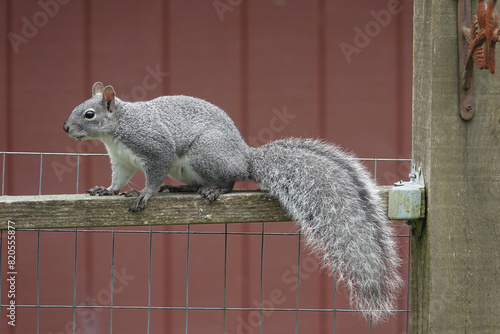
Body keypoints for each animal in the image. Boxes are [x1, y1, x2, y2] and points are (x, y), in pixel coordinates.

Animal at [63, 81, 402, 324]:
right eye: (78, 108)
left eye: (89, 114)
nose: (65, 128)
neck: (117, 130)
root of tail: (244, 157)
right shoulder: (121, 160)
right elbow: (118, 179)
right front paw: (107, 190)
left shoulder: (154, 147)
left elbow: (154, 172)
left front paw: (146, 192)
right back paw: (181, 188)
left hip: (204, 154)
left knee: (229, 180)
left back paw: (212, 190)